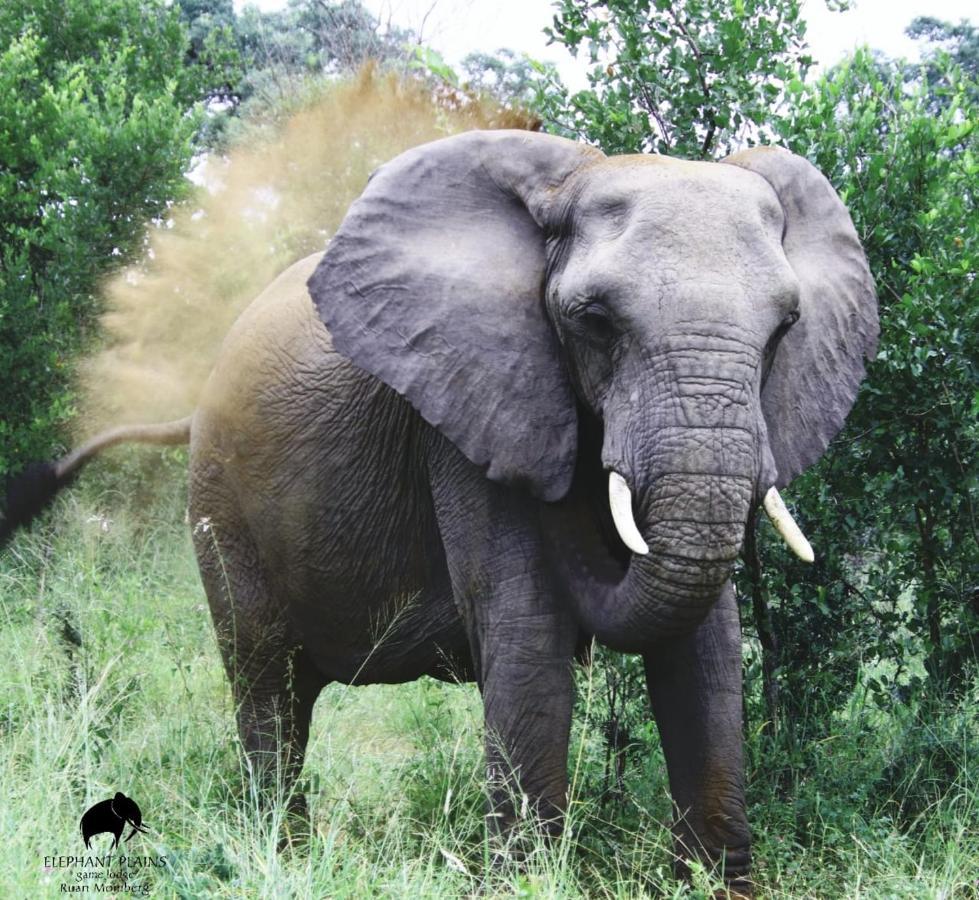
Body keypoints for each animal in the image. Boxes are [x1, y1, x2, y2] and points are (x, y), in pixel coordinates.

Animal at [0, 128, 876, 892]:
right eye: (592, 322)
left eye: (785, 328)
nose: (580, 472)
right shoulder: (459, 419)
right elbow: (527, 637)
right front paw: (526, 885)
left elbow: (703, 651)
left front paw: (716, 887)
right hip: (221, 501)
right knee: (265, 685)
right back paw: (276, 857)